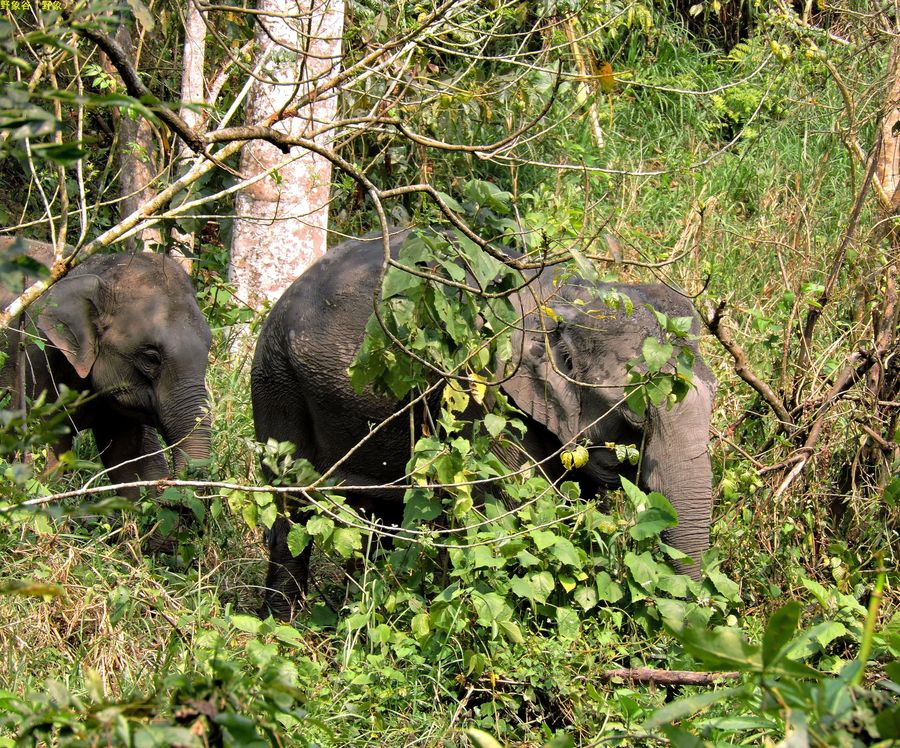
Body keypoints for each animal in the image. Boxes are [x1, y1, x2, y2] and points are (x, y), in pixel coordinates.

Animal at [0, 237, 212, 500]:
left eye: (208, 351)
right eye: (152, 357)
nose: (168, 485)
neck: (97, 269)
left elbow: (127, 461)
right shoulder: (34, 359)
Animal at [253, 229, 716, 620]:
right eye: (636, 416)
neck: (568, 294)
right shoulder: (485, 396)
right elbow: (513, 515)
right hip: (276, 381)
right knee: (291, 507)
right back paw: (283, 625)